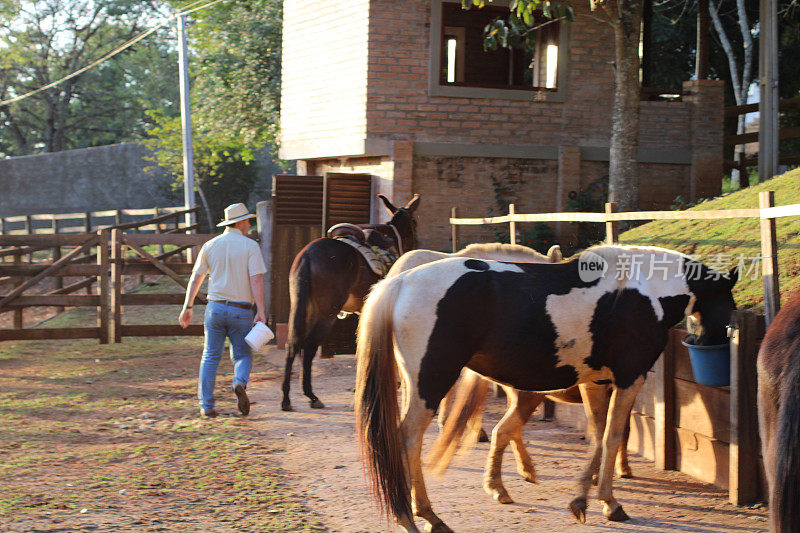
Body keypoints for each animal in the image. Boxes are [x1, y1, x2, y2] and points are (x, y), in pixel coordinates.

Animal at [282, 194, 418, 412]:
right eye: (414, 222)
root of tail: (308, 256)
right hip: (326, 313)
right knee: (309, 346)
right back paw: (312, 396)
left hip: (302, 307)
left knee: (292, 344)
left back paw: (287, 398)